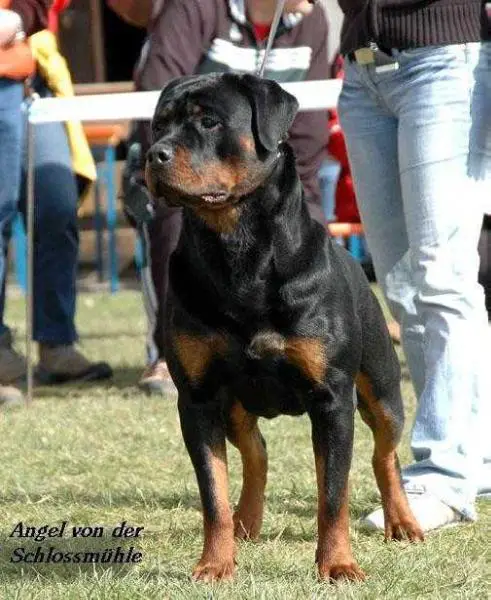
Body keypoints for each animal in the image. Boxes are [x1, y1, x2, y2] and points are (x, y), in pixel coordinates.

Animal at [145, 72, 422, 584]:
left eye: (209, 122)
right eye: (158, 125)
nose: (155, 154)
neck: (238, 250)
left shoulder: (332, 399)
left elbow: (333, 495)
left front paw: (337, 564)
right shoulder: (197, 398)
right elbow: (212, 493)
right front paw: (215, 562)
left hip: (382, 390)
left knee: (385, 453)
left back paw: (403, 522)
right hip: (234, 404)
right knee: (256, 451)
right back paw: (246, 522)